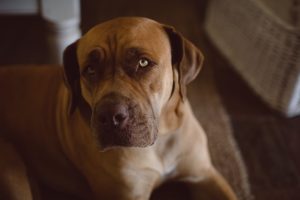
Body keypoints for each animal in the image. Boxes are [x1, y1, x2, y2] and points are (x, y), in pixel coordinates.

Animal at [0, 17, 237, 200]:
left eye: (143, 63)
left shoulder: (205, 175)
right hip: (11, 166)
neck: (159, 142)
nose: (110, 116)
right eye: (90, 69)